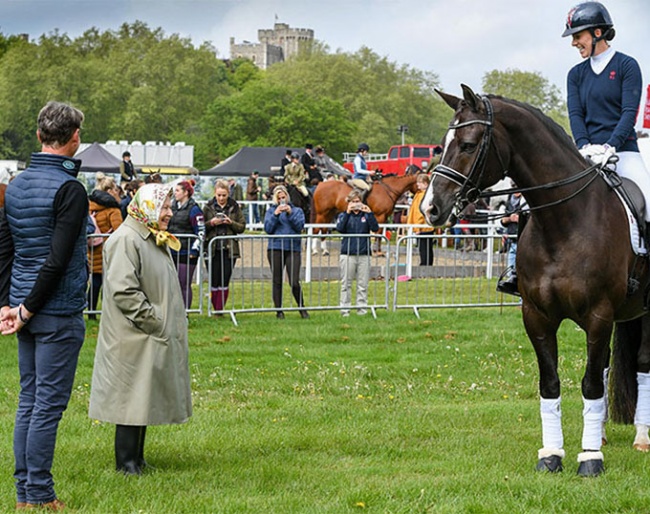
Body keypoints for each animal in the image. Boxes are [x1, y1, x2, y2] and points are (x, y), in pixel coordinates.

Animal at [420, 83, 648, 476]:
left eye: (467, 145)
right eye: (443, 142)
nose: (431, 208)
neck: (565, 221)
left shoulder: (599, 315)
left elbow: (590, 384)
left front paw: (589, 459)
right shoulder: (537, 316)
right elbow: (551, 383)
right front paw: (552, 454)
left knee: (643, 365)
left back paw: (641, 437)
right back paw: (602, 434)